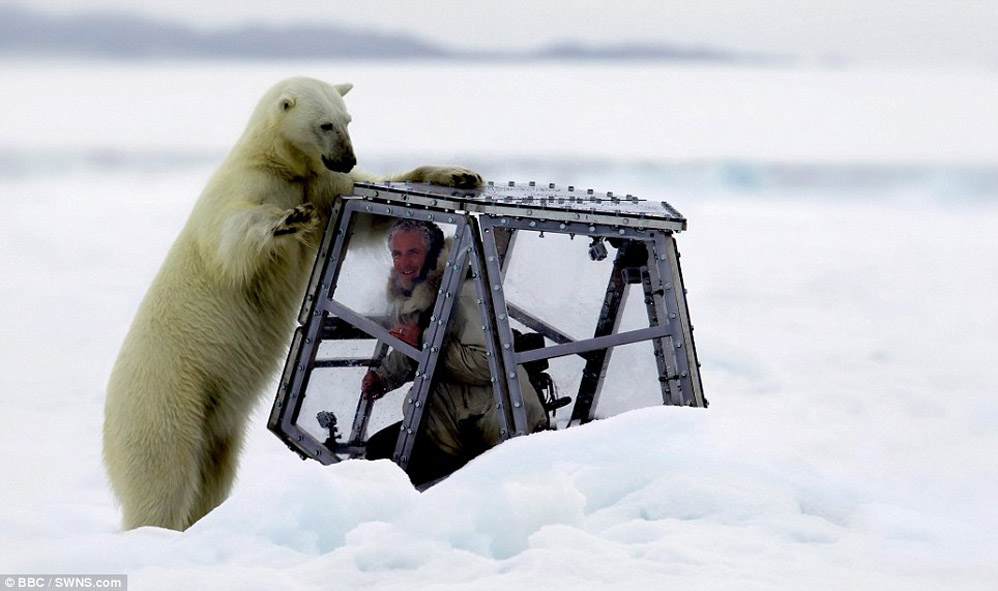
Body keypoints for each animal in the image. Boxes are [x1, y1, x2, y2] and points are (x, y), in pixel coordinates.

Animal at [102, 76, 482, 531]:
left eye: (347, 119)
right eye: (324, 125)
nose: (347, 159)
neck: (279, 162)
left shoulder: (321, 184)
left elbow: (369, 213)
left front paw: (457, 174)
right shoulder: (247, 187)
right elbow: (233, 238)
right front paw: (288, 220)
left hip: (217, 423)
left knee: (214, 471)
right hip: (168, 396)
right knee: (164, 476)